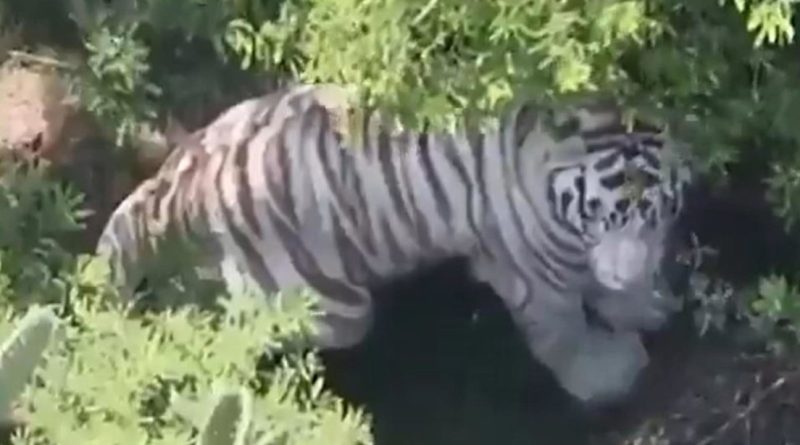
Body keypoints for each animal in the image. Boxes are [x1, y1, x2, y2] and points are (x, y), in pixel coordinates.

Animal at [95, 83, 692, 406]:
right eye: (599, 214)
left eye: (657, 213)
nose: (628, 273)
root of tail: (175, 188)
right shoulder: (534, 273)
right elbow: (564, 333)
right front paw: (609, 373)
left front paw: (645, 303)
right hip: (335, 311)